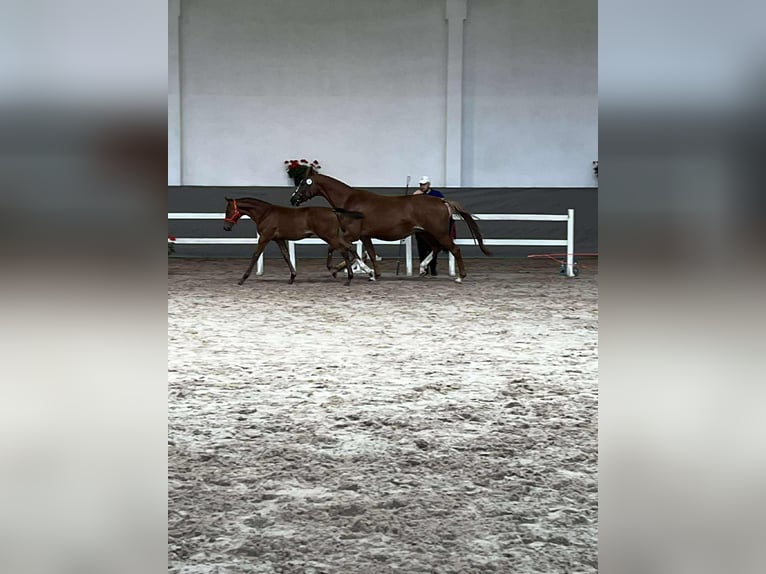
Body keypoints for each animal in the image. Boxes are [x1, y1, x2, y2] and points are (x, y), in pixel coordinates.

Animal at [222, 197, 373, 286]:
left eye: (228, 210)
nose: (226, 227)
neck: (265, 214)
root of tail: (332, 211)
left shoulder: (265, 237)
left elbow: (255, 255)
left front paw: (242, 279)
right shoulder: (278, 239)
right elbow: (286, 255)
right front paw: (292, 277)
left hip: (328, 236)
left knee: (343, 250)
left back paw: (348, 277)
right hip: (334, 236)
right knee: (348, 247)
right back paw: (361, 271)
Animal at [289, 172, 492, 282]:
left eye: (303, 183)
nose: (293, 199)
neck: (349, 202)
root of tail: (442, 201)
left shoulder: (352, 233)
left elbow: (339, 248)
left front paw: (338, 269)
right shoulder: (364, 235)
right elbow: (369, 253)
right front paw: (373, 273)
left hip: (438, 232)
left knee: (454, 249)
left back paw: (460, 277)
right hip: (426, 233)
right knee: (436, 248)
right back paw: (422, 269)